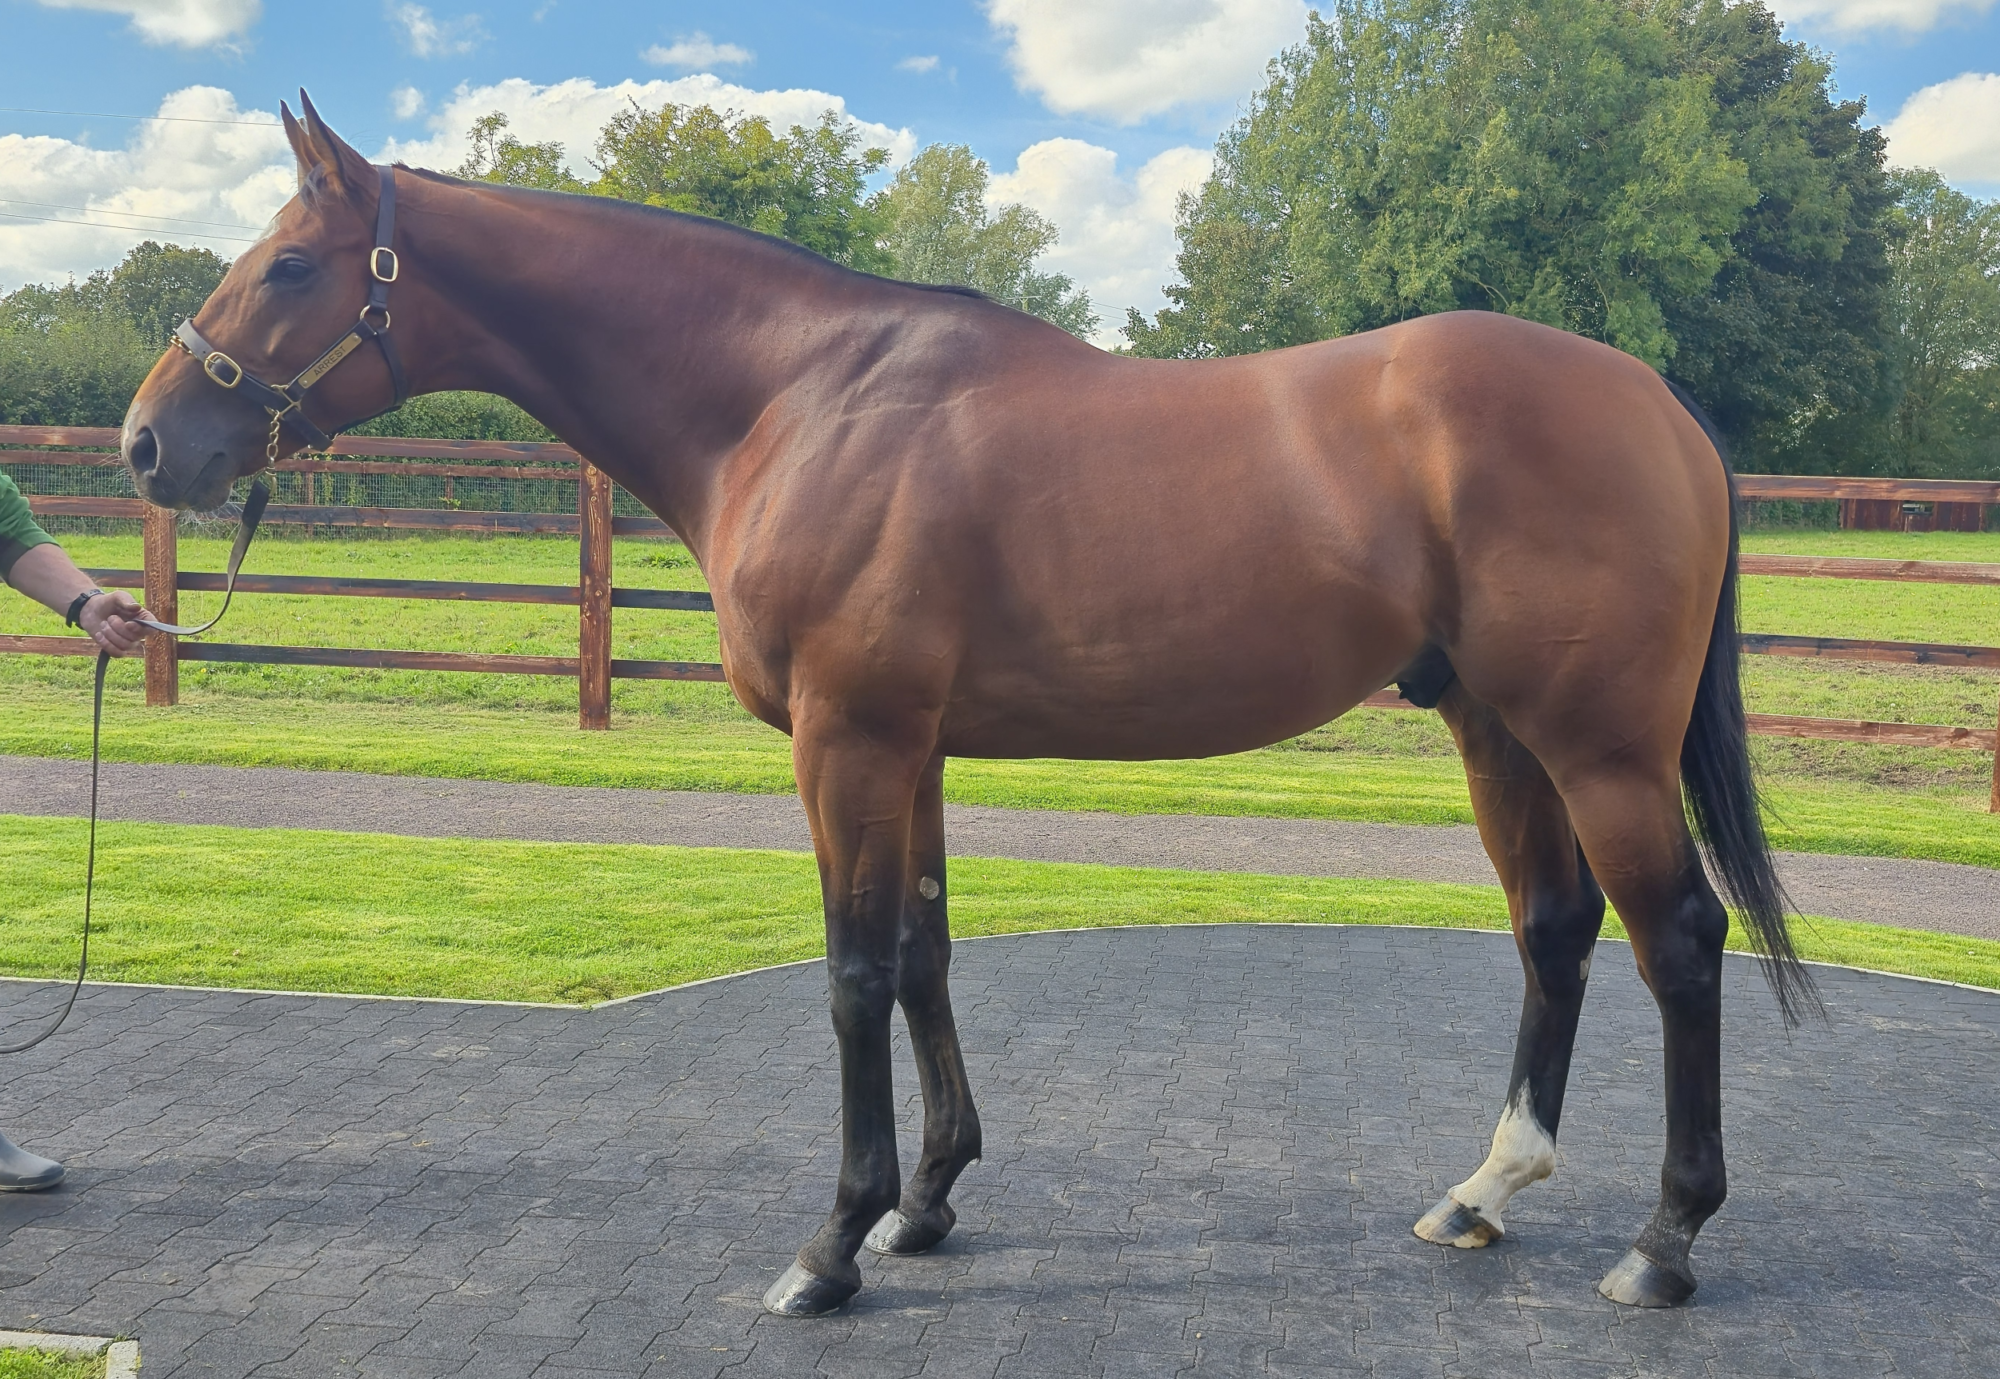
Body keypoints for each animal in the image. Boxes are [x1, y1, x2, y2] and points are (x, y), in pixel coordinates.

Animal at [120, 94, 1812, 1316]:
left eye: (286, 266)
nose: (147, 441)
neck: (796, 398)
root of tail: (1661, 401)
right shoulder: (911, 746)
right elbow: (927, 949)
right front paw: (930, 1201)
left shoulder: (847, 739)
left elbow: (856, 969)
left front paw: (833, 1240)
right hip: (1494, 726)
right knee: (1556, 928)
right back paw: (1484, 1190)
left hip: (1597, 743)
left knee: (1679, 940)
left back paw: (1664, 1241)